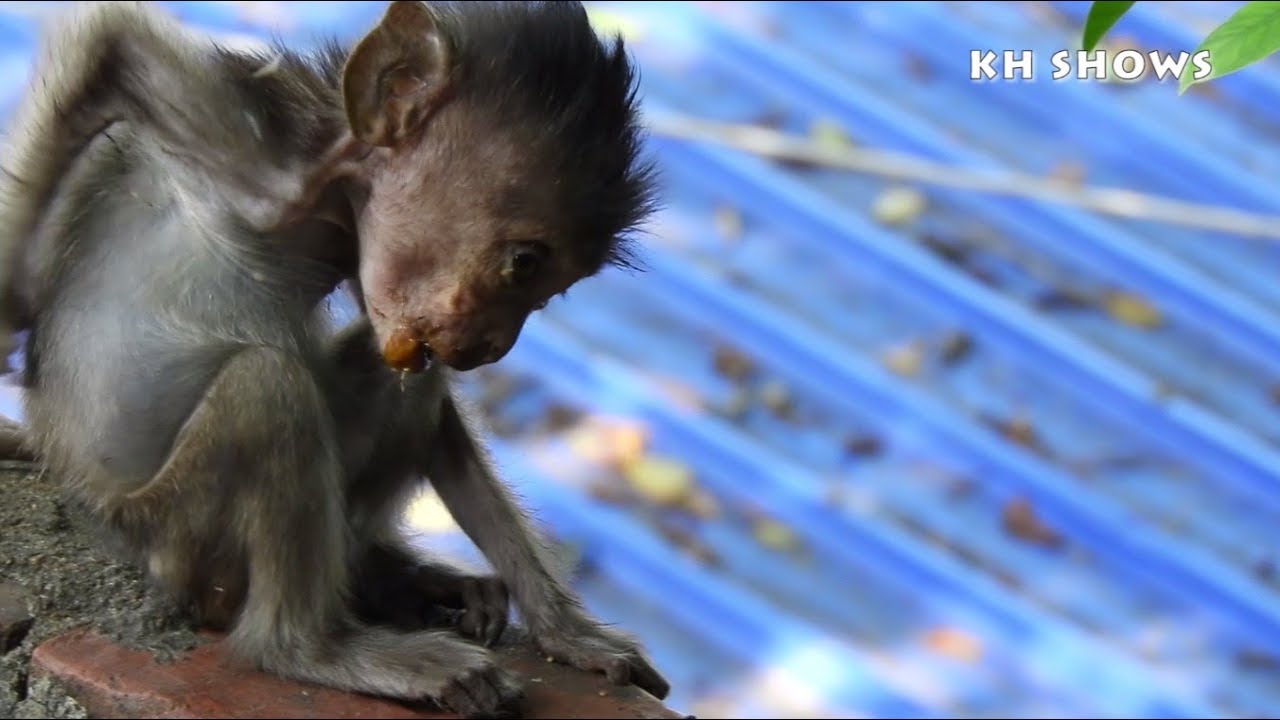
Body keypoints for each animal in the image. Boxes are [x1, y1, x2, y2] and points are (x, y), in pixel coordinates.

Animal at [0, 1, 668, 717]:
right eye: (524, 264)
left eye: (548, 292)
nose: (495, 344)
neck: (329, 195)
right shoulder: (260, 160)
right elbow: (109, 40)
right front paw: (15, 311)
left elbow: (427, 395)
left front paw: (567, 630)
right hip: (176, 530)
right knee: (268, 386)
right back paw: (308, 648)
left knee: (400, 386)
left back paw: (389, 578)